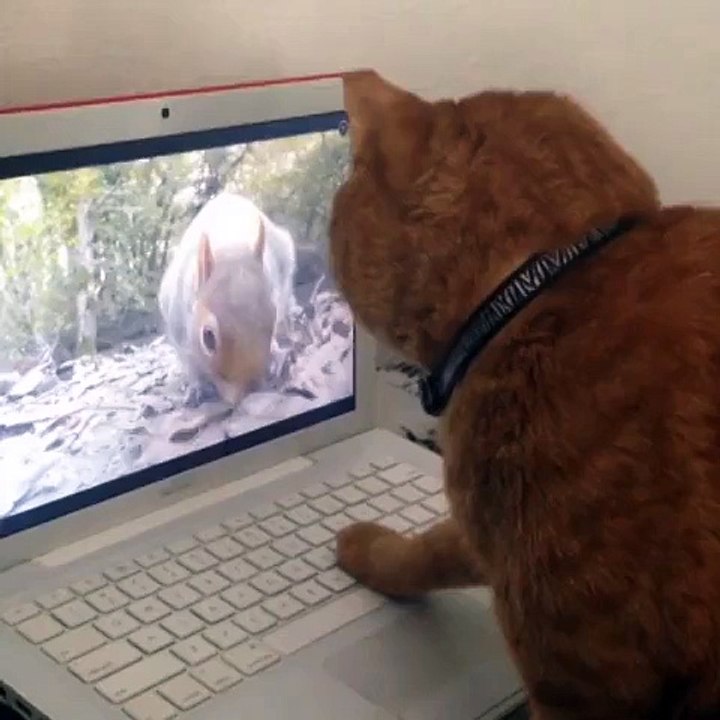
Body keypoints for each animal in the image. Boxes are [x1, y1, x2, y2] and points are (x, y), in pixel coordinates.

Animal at [158, 192, 298, 406]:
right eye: (208, 337)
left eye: (272, 319)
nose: (250, 391)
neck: (229, 252)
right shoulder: (177, 328)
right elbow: (189, 363)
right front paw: (196, 388)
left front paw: (275, 355)